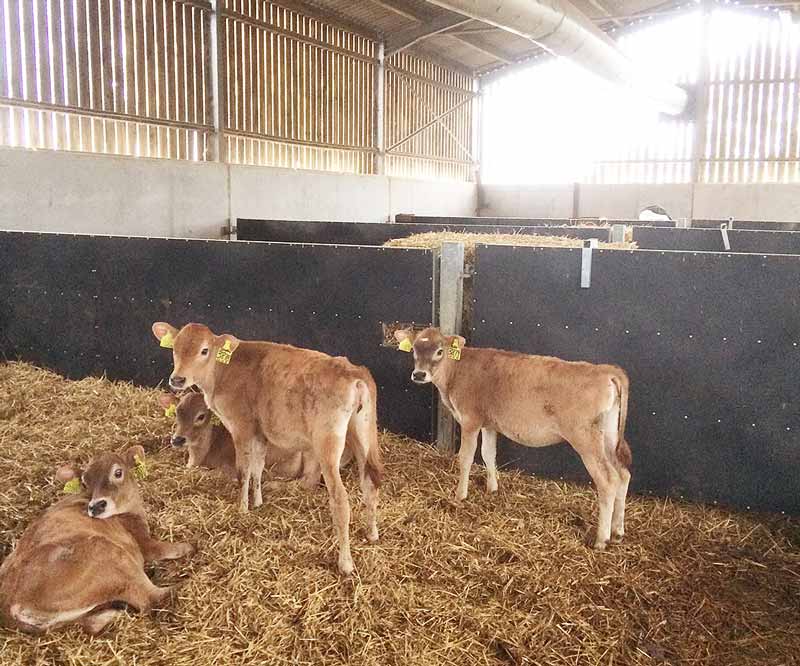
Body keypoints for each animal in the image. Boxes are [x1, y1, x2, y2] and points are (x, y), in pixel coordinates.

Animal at [0, 446, 195, 632]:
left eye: (118, 472)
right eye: (84, 482)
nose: (96, 506)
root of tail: (11, 606)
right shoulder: (145, 543)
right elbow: (172, 549)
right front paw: (191, 546)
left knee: (91, 624)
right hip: (108, 553)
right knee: (153, 599)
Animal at [155, 322, 386, 572]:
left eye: (204, 350)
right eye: (175, 348)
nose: (177, 379)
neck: (222, 371)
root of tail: (354, 374)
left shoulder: (242, 427)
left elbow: (243, 471)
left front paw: (242, 509)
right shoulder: (260, 432)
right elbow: (257, 468)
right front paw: (257, 502)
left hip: (327, 444)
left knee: (339, 498)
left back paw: (345, 563)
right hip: (363, 434)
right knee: (370, 484)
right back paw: (372, 533)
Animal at [394, 326, 632, 548]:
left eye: (439, 351)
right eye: (414, 349)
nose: (419, 374)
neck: (457, 371)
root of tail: (607, 371)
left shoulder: (471, 421)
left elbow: (466, 457)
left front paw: (460, 495)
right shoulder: (489, 424)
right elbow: (488, 454)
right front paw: (492, 489)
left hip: (586, 439)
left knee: (608, 480)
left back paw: (601, 539)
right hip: (609, 437)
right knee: (623, 474)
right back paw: (618, 531)